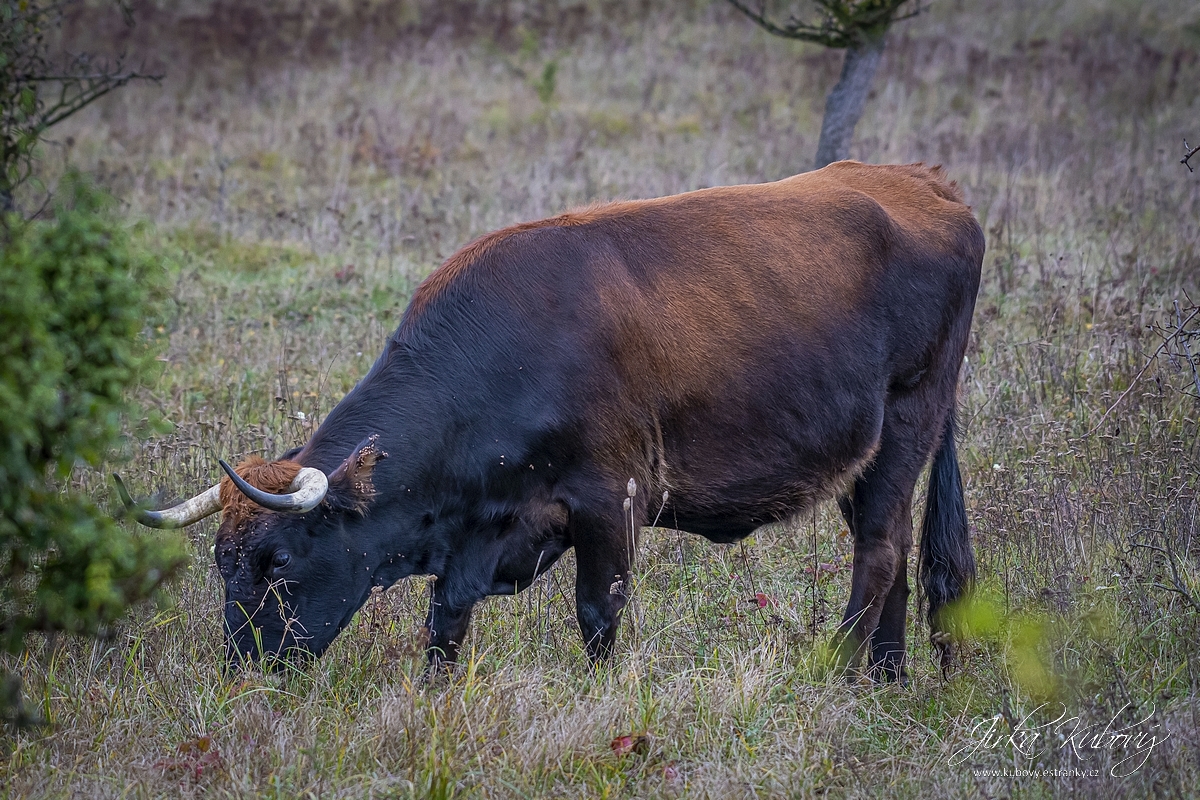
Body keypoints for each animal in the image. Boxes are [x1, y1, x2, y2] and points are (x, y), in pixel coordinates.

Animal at [119, 160, 984, 681]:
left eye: (281, 564)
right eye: (221, 565)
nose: (242, 674)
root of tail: (925, 182)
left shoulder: (613, 499)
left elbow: (598, 615)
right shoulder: (474, 541)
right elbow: (444, 625)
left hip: (910, 418)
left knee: (880, 550)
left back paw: (836, 669)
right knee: (894, 551)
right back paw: (886, 678)